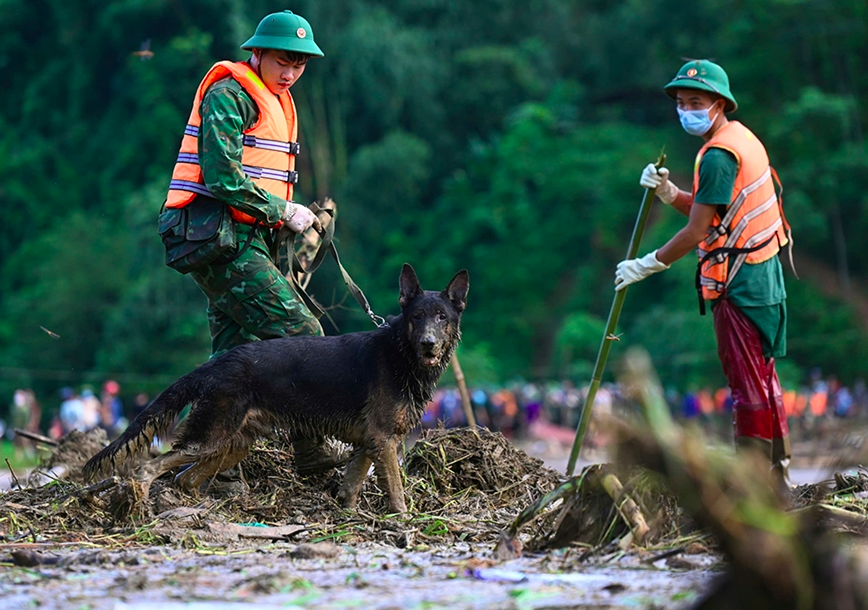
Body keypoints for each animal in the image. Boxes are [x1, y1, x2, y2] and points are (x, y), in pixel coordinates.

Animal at [83, 264, 468, 510]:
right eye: (416, 317)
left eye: (442, 318)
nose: (429, 345)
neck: (400, 352)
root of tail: (217, 363)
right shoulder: (384, 440)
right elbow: (397, 490)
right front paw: (403, 521)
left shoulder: (368, 443)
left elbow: (351, 487)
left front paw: (347, 516)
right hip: (208, 438)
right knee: (149, 468)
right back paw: (143, 504)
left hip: (231, 444)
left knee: (185, 479)